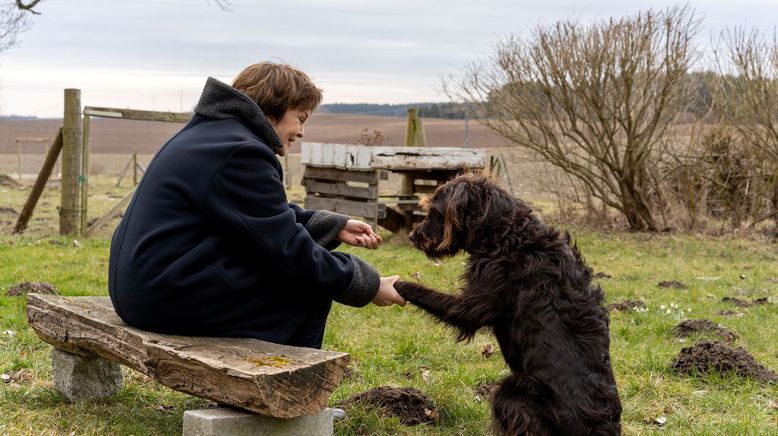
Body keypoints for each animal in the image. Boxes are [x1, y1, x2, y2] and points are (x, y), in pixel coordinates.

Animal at [394, 172, 620, 434]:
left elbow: (424, 293)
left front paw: (393, 283)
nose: (412, 236)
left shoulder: (468, 307)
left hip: (513, 391)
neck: (506, 234)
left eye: (435, 212)